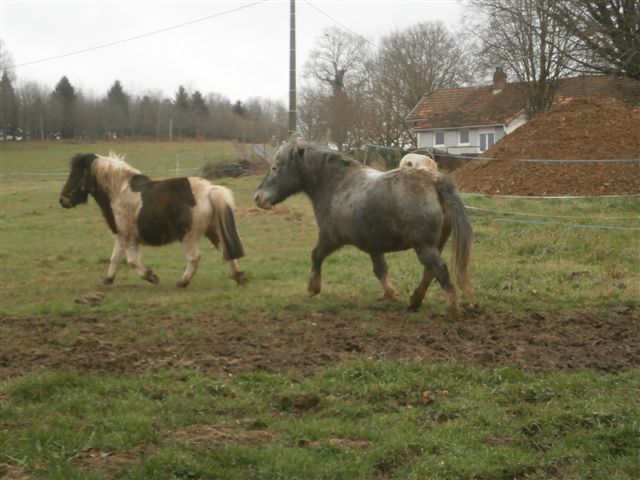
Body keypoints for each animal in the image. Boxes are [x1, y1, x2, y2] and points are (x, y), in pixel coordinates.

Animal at [60, 154, 246, 286]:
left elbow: (132, 261)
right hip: (213, 232)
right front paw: (108, 280)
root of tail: (210, 189)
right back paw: (238, 277)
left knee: (195, 257)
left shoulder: (128, 238)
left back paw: (183, 282)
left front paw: (152, 277)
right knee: (226, 251)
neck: (119, 191)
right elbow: (115, 258)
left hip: (188, 237)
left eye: (75, 174)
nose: (62, 200)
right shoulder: (121, 236)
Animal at [254, 141, 470, 316]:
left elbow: (316, 255)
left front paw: (313, 288)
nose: (258, 198)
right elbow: (380, 270)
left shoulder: (330, 238)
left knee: (440, 270)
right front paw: (391, 294)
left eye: (275, 167)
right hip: (434, 245)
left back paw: (452, 309)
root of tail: (435, 182)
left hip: (424, 246)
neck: (337, 184)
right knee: (430, 272)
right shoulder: (373, 245)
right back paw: (415, 302)